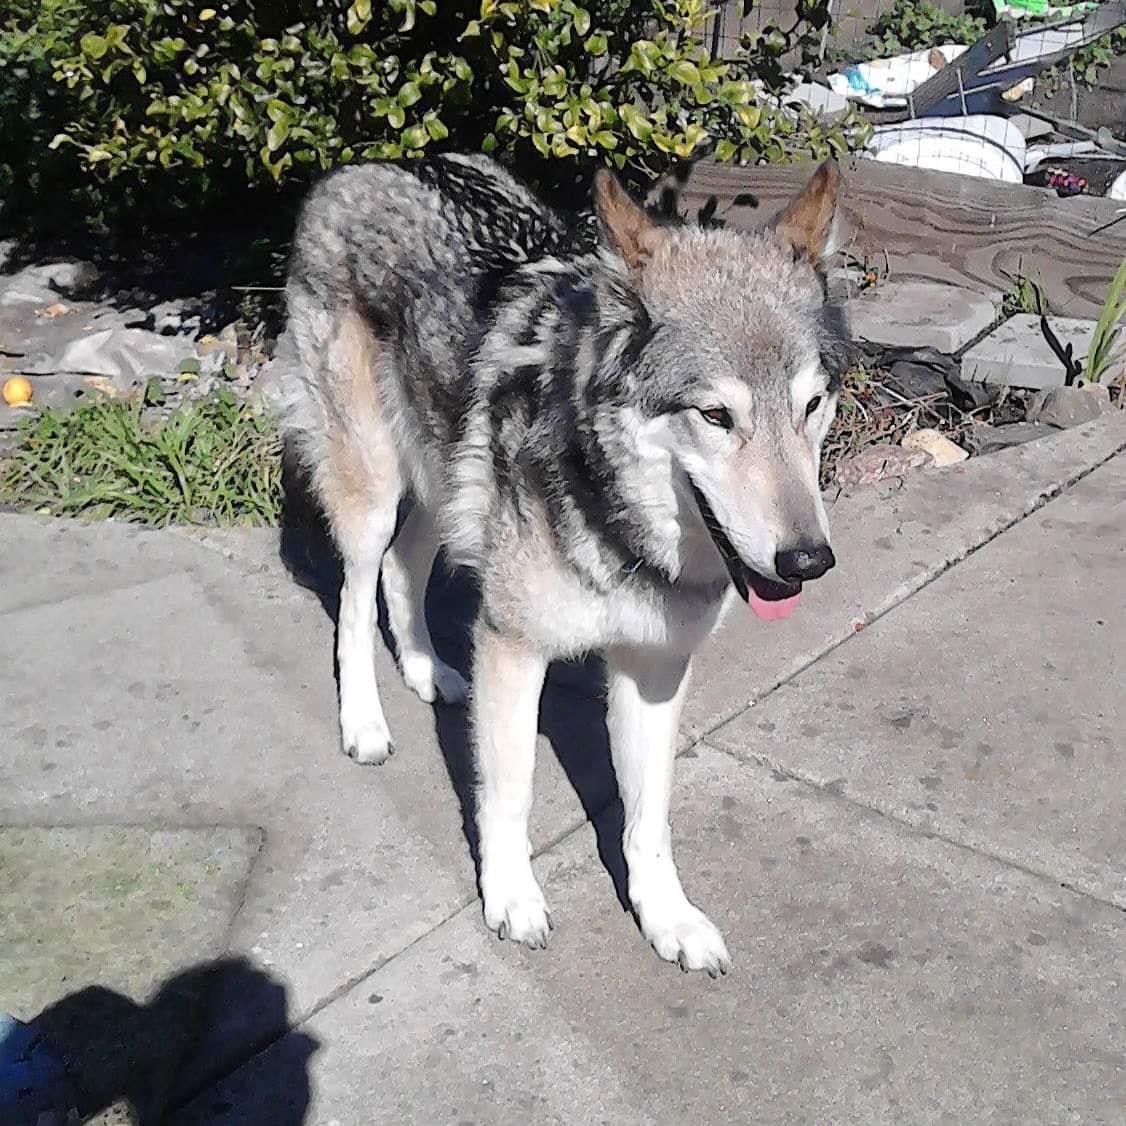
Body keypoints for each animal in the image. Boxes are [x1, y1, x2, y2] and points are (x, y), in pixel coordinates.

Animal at [281, 152, 846, 975]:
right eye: (716, 415)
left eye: (810, 407)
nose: (808, 559)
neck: (615, 523)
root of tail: (371, 162)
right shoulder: (513, 649)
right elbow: (510, 792)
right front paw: (511, 898)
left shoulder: (654, 670)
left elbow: (648, 819)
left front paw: (666, 918)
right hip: (373, 489)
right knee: (355, 594)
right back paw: (364, 722)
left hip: (445, 483)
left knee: (402, 569)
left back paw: (427, 670)